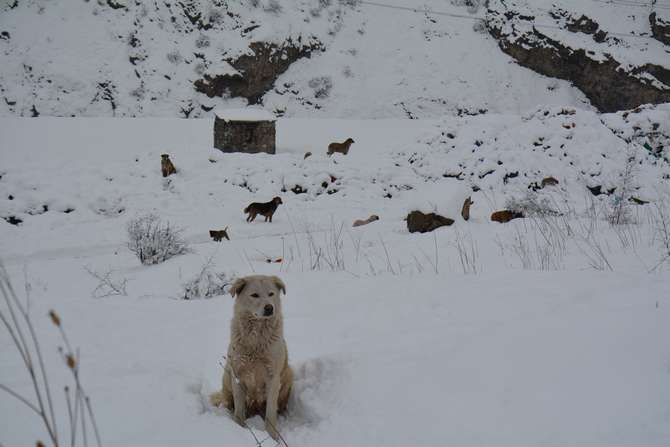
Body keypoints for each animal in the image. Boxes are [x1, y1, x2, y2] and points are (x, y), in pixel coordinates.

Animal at [210, 276, 294, 440]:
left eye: (271, 294)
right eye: (254, 295)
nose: (269, 308)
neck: (256, 340)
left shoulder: (273, 378)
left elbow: (270, 413)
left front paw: (273, 437)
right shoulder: (238, 376)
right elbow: (239, 412)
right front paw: (238, 428)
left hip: (288, 374)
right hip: (227, 374)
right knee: (228, 401)